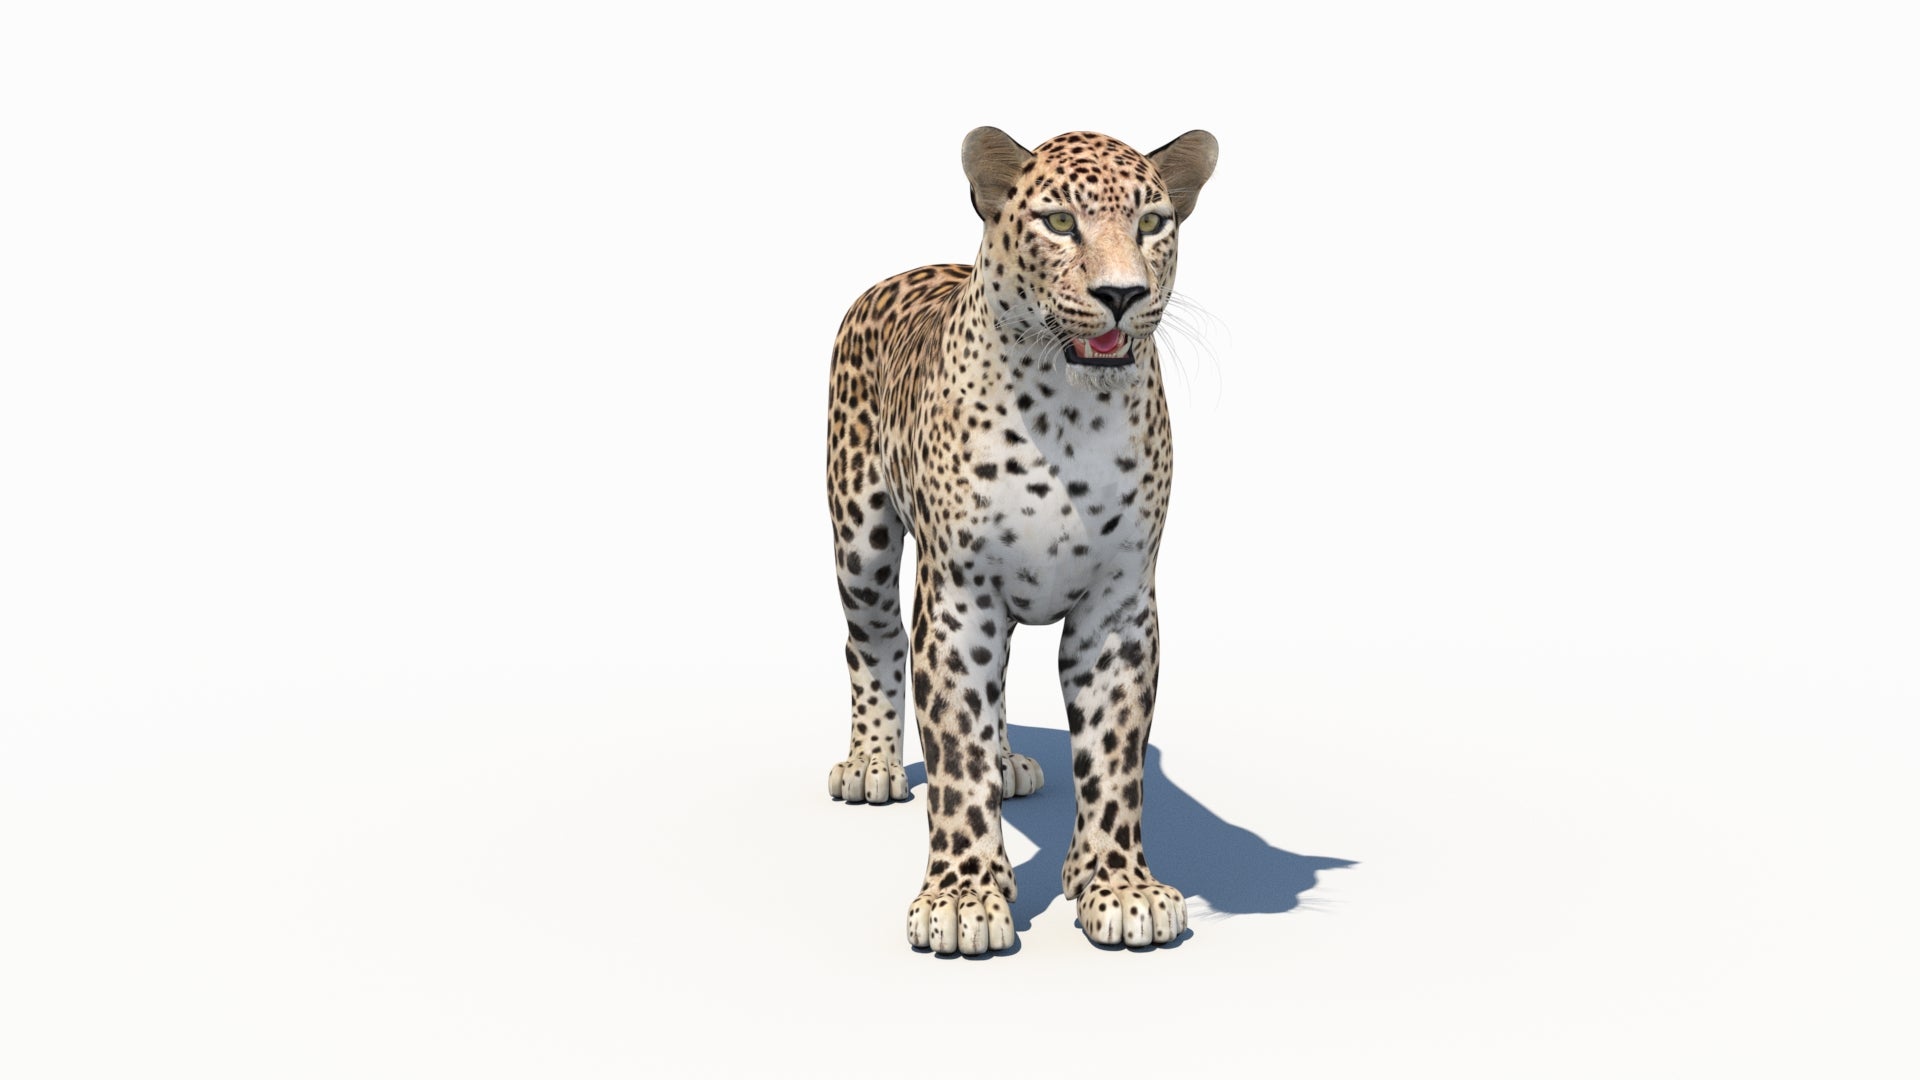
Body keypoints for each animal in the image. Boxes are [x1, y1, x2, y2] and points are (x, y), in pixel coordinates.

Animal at [825, 127, 1217, 955]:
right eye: (1060, 223)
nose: (1122, 294)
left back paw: (1009, 763)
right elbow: (954, 755)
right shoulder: (958, 600)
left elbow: (1114, 757)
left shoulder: (1118, 607)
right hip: (860, 542)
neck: (1070, 417)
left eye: (1153, 224)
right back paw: (870, 764)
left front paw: (1117, 887)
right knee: (871, 644)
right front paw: (961, 897)